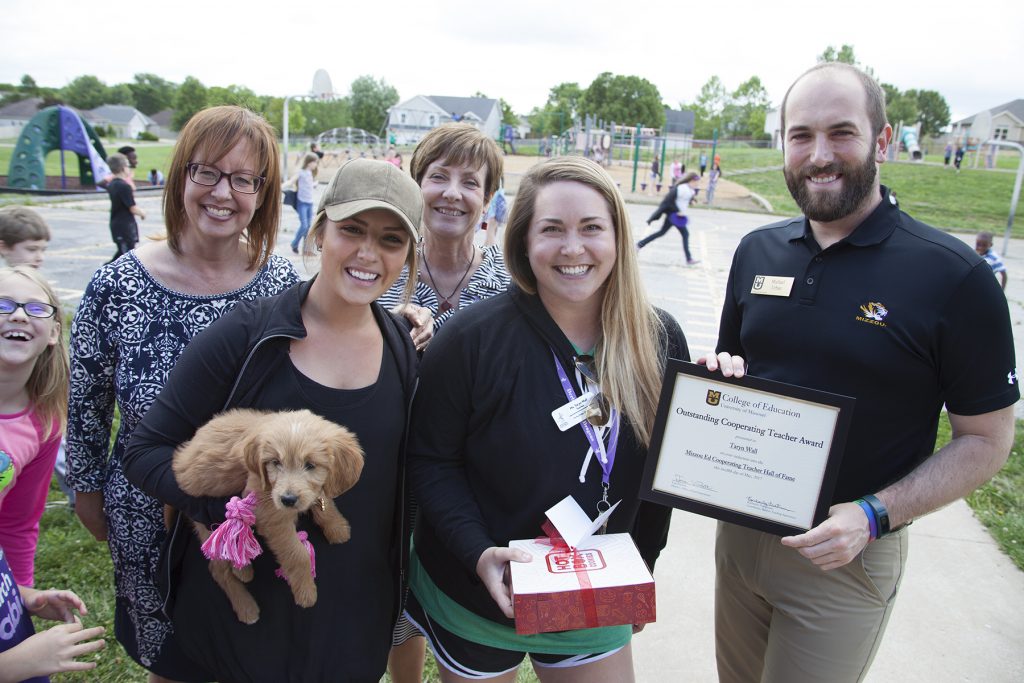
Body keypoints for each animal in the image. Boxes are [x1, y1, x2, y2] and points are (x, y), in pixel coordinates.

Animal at [173, 409, 368, 622]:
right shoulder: (269, 511)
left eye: (310, 465)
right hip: (205, 525)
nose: (288, 499)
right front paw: (306, 591)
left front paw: (336, 525)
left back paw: (242, 569)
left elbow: (321, 497)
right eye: (275, 462)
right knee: (219, 568)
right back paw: (246, 604)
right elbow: (297, 554)